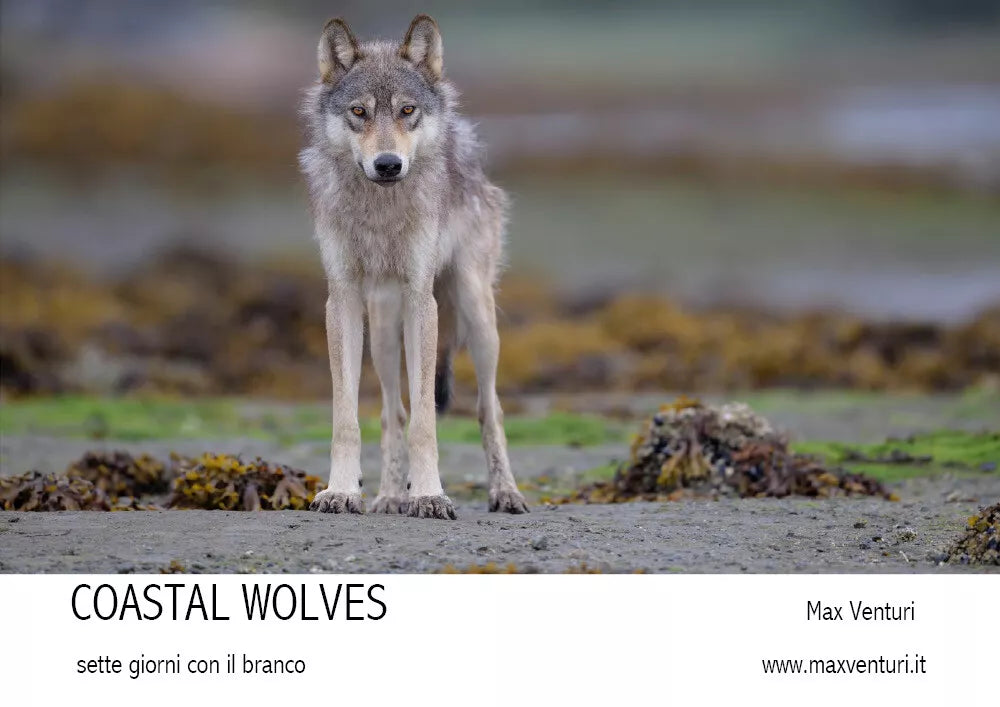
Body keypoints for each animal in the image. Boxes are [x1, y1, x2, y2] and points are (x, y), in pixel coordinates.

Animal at [299, 15, 528, 519]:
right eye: (359, 112)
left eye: (407, 111)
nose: (388, 164)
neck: (381, 211)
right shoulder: (342, 299)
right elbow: (349, 417)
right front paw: (342, 491)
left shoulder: (424, 301)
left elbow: (427, 420)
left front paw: (428, 495)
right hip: (385, 329)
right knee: (392, 411)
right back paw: (387, 497)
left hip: (476, 317)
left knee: (490, 409)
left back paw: (506, 493)